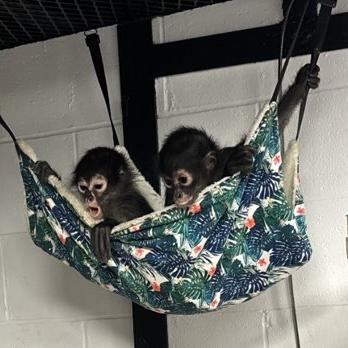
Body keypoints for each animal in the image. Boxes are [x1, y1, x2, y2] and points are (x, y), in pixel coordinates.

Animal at [159, 63, 320, 207]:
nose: (177, 194)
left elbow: (279, 117)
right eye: (168, 182)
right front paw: (233, 167)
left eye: (183, 179)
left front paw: (302, 81)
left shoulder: (227, 154)